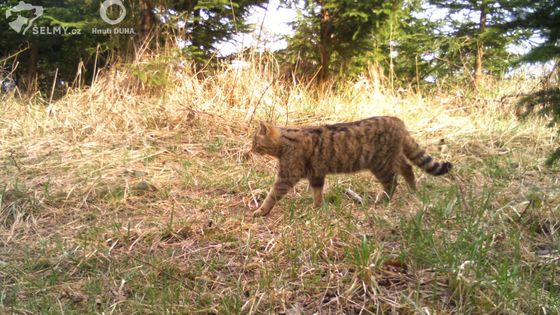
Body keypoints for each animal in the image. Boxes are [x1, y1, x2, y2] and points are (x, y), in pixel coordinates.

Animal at [252, 116, 452, 217]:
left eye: (255, 142)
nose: (250, 149)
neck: (284, 142)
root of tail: (398, 121)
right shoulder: (316, 173)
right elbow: (317, 192)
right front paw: (317, 207)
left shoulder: (287, 175)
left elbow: (272, 195)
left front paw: (260, 210)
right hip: (391, 157)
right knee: (408, 167)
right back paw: (413, 191)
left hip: (380, 163)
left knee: (393, 181)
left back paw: (384, 199)